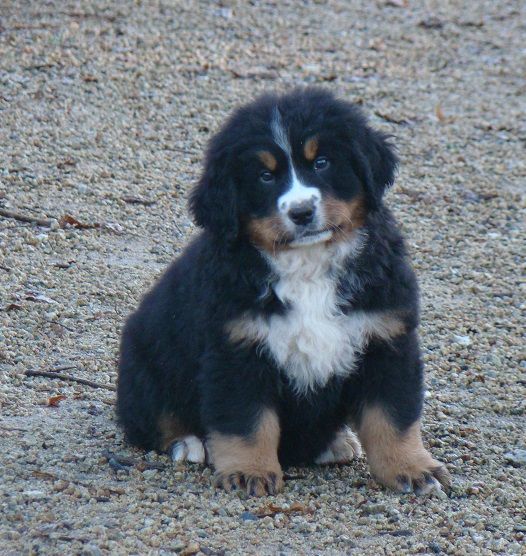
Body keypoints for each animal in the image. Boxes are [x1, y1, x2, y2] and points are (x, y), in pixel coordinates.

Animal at [117, 89, 452, 498]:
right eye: (264, 176)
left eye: (322, 162)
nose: (302, 212)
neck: (308, 266)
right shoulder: (237, 350)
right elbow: (246, 422)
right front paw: (249, 472)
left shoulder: (386, 340)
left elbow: (393, 417)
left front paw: (412, 468)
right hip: (147, 365)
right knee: (154, 421)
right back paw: (189, 443)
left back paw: (336, 442)